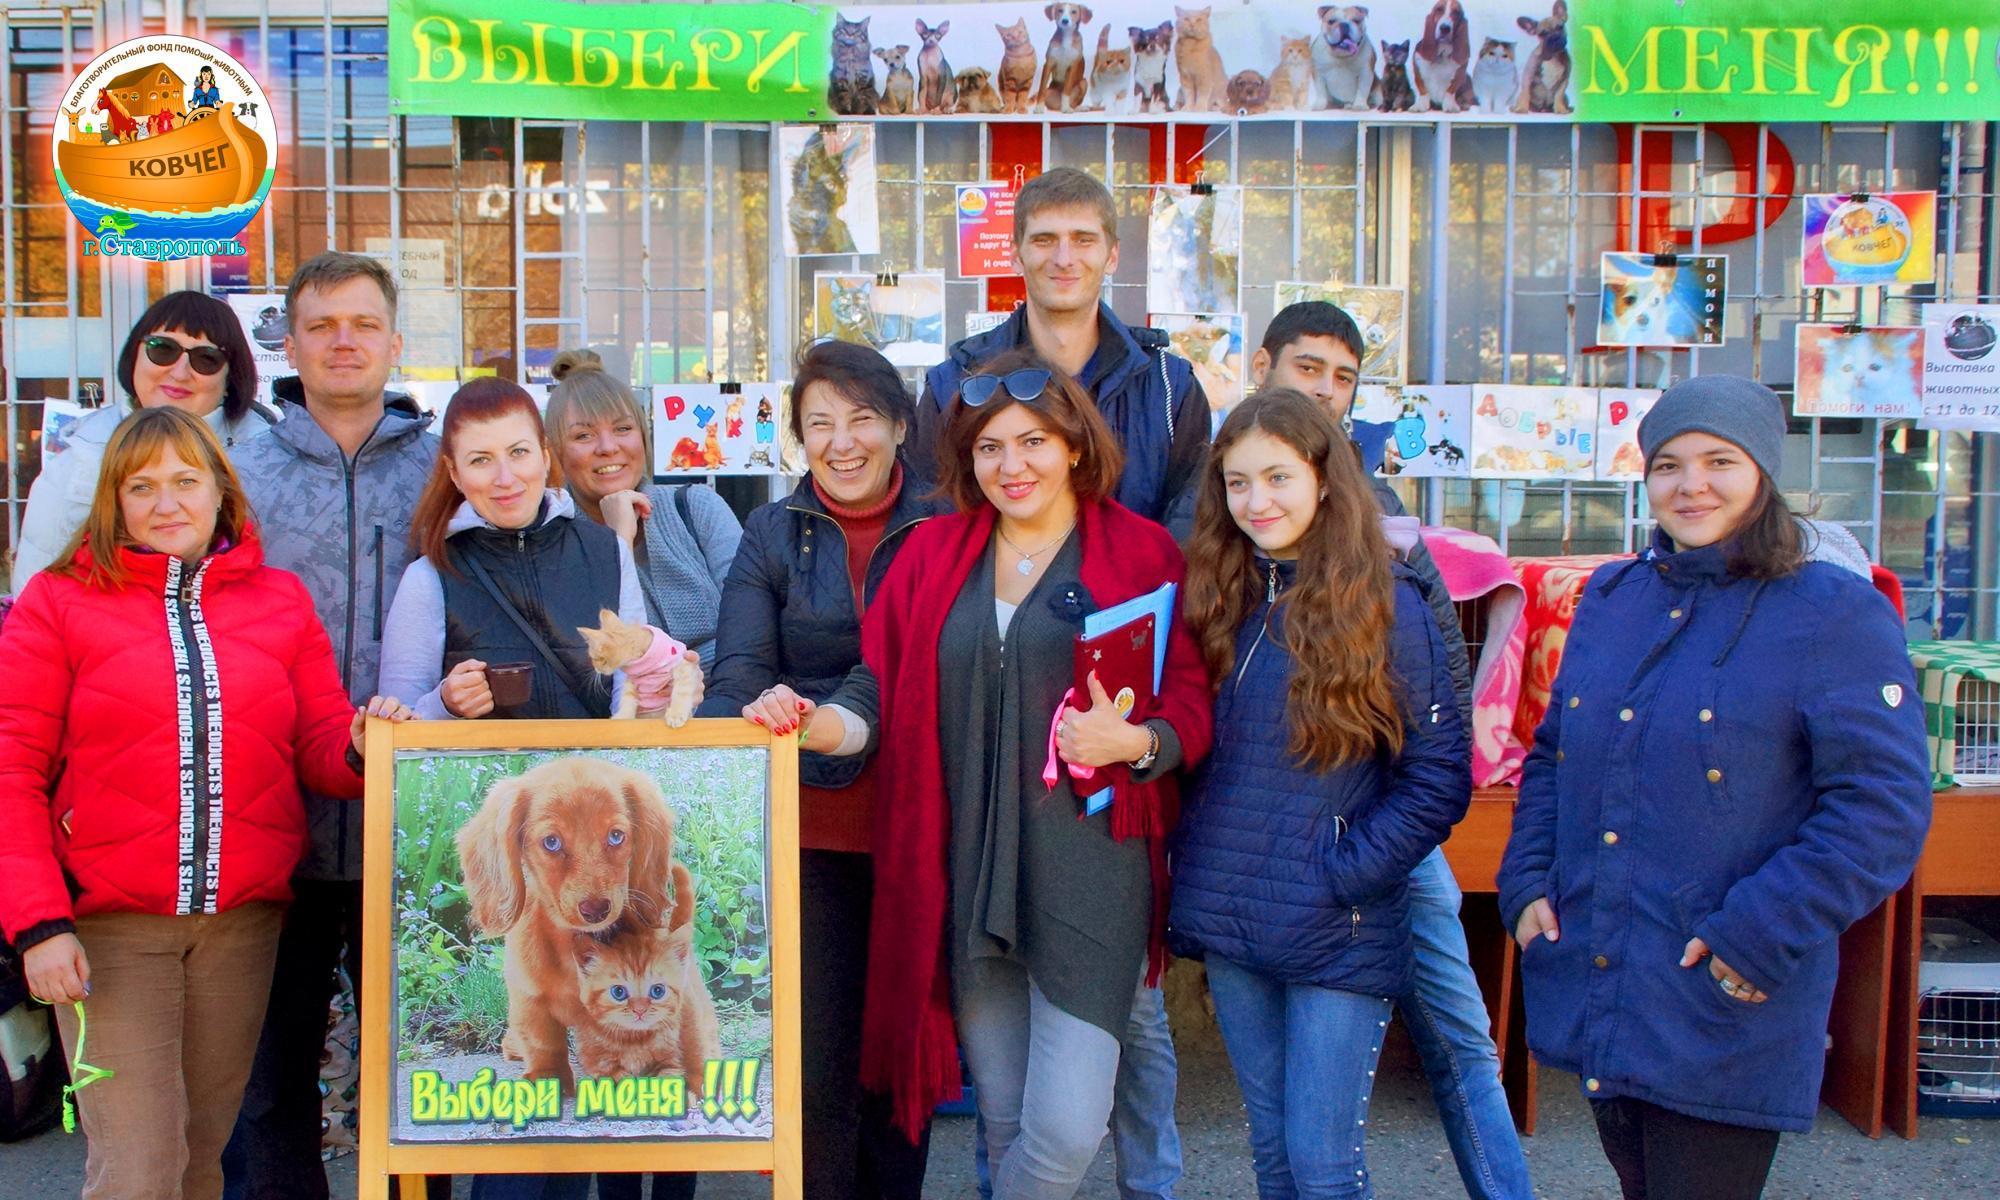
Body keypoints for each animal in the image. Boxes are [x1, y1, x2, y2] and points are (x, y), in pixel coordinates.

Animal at [458, 760, 676, 1088]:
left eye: (616, 836)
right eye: (551, 842)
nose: (596, 910)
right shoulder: (529, 998)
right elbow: (543, 1041)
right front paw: (547, 1080)